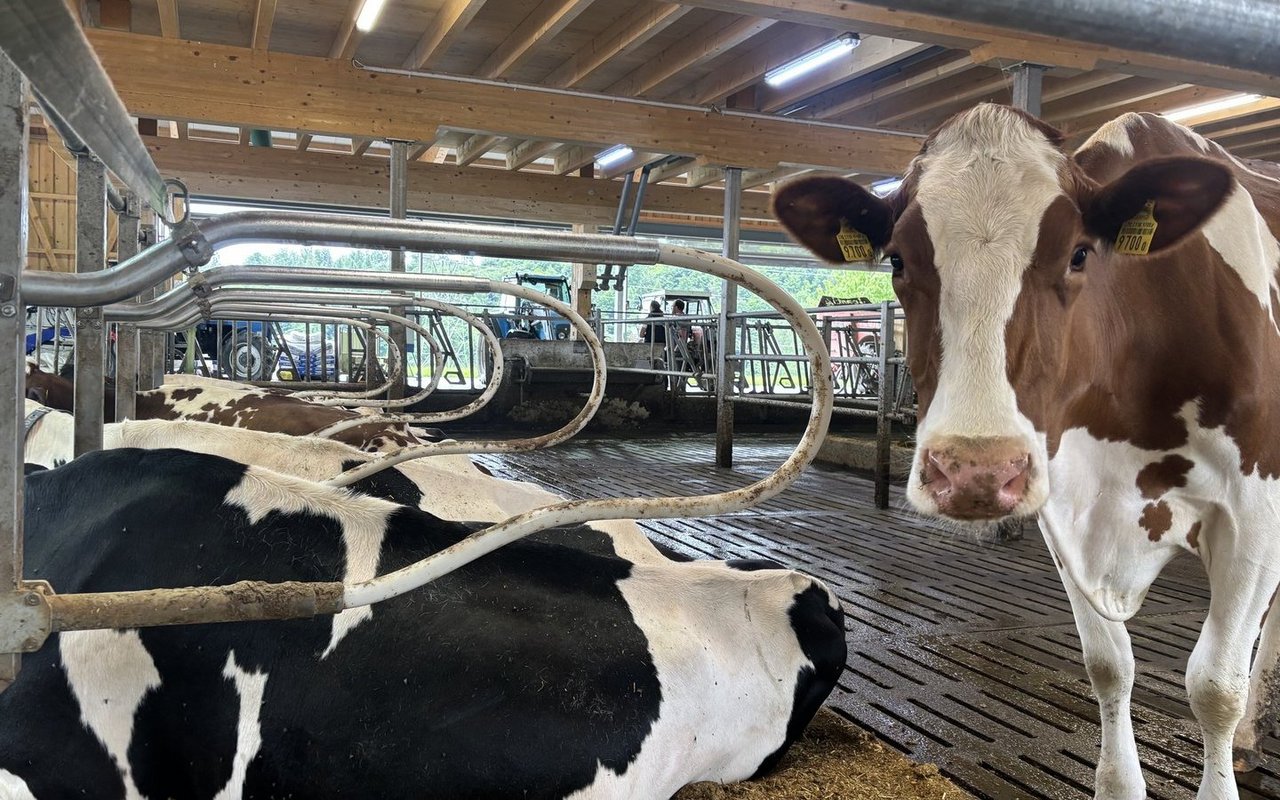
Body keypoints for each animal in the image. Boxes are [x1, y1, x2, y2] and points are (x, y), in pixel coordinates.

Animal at [772, 104, 1279, 800]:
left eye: (1079, 253)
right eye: (897, 260)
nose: (974, 472)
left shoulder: (1254, 517)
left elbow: (1214, 687)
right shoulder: (1064, 507)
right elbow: (1108, 666)